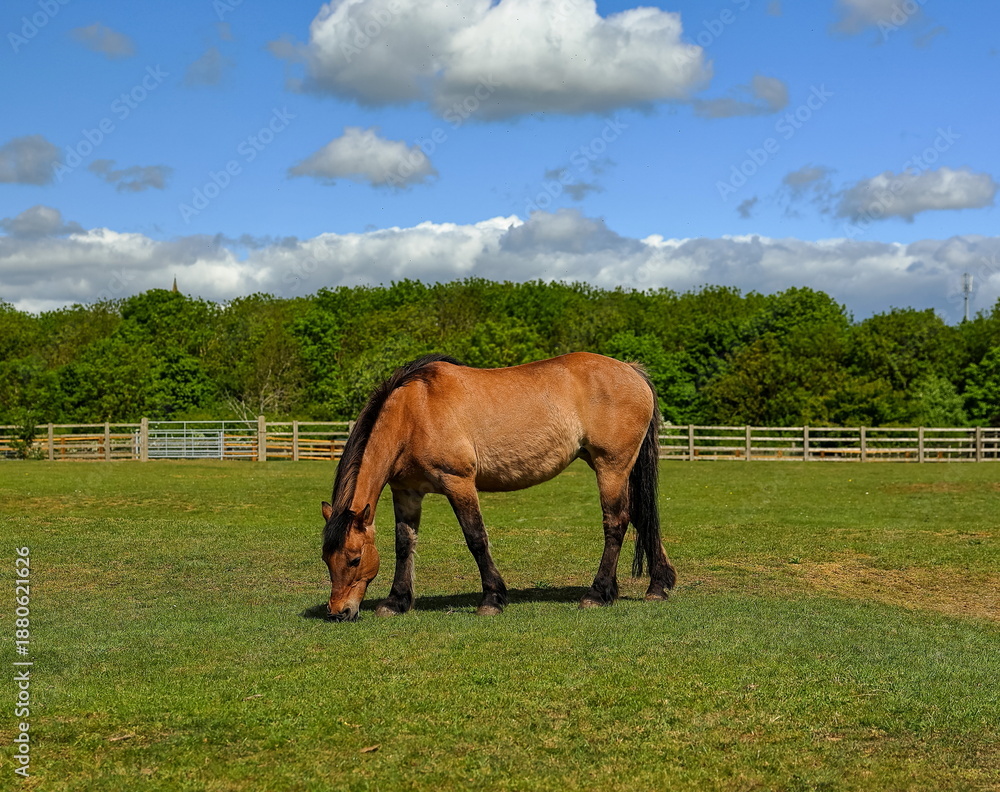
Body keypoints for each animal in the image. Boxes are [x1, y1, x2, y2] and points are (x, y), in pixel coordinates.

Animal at [320, 352, 677, 621]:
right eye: (326, 559)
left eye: (354, 559)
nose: (339, 612)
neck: (413, 411)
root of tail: (631, 370)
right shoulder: (407, 493)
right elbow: (404, 545)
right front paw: (396, 601)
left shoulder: (458, 482)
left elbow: (476, 539)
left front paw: (492, 598)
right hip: (612, 466)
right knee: (642, 517)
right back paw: (657, 586)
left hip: (611, 466)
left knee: (616, 523)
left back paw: (598, 593)